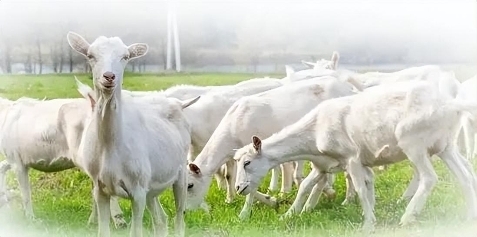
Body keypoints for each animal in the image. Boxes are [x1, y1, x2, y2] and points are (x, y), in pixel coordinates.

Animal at [66, 32, 199, 237]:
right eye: (90, 55)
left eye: (125, 57)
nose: (109, 76)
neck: (111, 147)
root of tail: (177, 103)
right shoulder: (100, 187)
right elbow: (103, 230)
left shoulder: (137, 190)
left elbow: (136, 231)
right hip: (152, 186)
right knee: (161, 220)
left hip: (180, 174)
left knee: (179, 217)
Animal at [186, 77, 356, 219]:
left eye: (190, 185)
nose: (186, 211)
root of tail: (349, 88)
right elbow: (231, 178)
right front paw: (267, 199)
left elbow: (250, 185)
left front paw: (246, 213)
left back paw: (347, 199)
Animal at [231, 80, 476, 231]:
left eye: (247, 162)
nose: (239, 187)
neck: (314, 129)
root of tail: (449, 103)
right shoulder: (327, 164)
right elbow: (306, 187)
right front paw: (289, 215)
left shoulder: (351, 158)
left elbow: (359, 188)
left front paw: (368, 223)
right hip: (445, 145)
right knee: (464, 176)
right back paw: (469, 216)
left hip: (413, 143)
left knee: (429, 178)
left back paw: (407, 217)